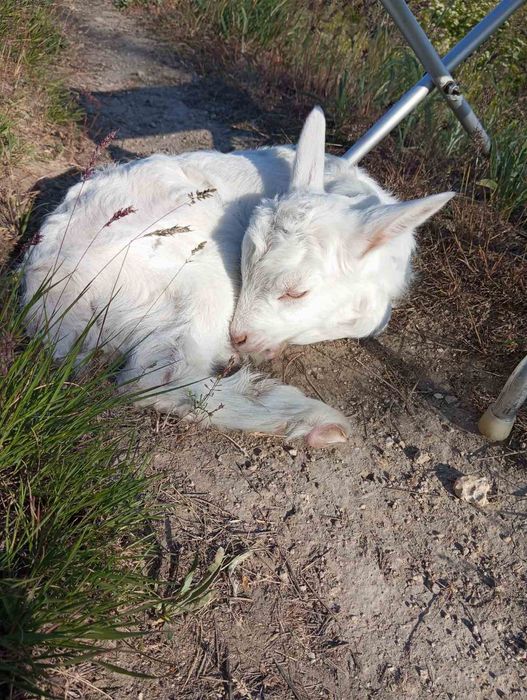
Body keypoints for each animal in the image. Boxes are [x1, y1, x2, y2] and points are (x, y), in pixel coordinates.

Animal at [21, 107, 453, 447]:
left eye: (297, 292)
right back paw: (310, 419)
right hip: (198, 283)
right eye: (245, 267)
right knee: (157, 377)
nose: (240, 337)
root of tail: (49, 303)